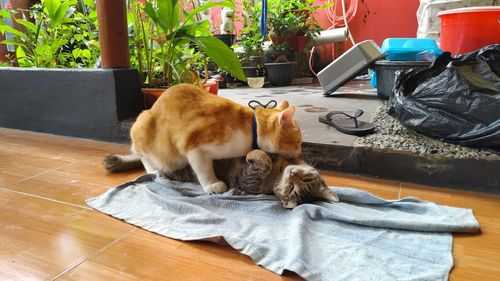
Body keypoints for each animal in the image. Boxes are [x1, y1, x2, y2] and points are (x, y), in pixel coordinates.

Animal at [128, 82, 300, 194]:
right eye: (298, 142)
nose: (299, 153)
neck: (252, 128)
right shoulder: (193, 145)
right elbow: (203, 168)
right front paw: (212, 184)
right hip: (143, 128)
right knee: (143, 155)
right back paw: (154, 170)